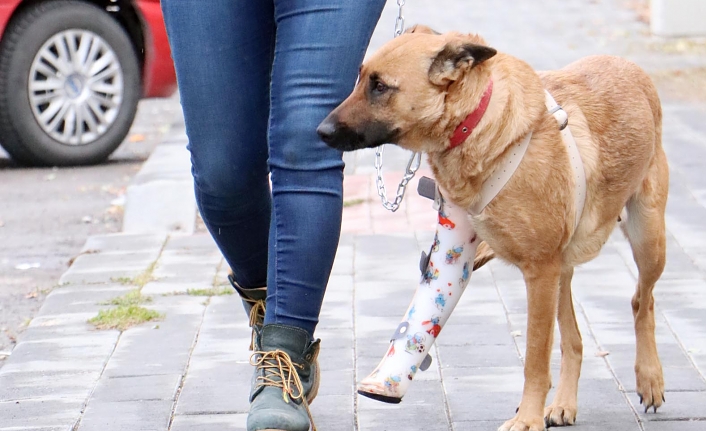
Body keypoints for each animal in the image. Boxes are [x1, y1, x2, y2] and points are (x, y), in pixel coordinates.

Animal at [316, 26, 668, 431]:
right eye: (360, 79)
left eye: (380, 86)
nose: (320, 131)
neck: (476, 124)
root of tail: (632, 68)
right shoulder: (466, 253)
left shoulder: (540, 272)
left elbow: (535, 357)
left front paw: (527, 418)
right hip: (563, 269)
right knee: (575, 339)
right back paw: (564, 402)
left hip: (647, 240)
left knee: (643, 300)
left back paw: (649, 378)